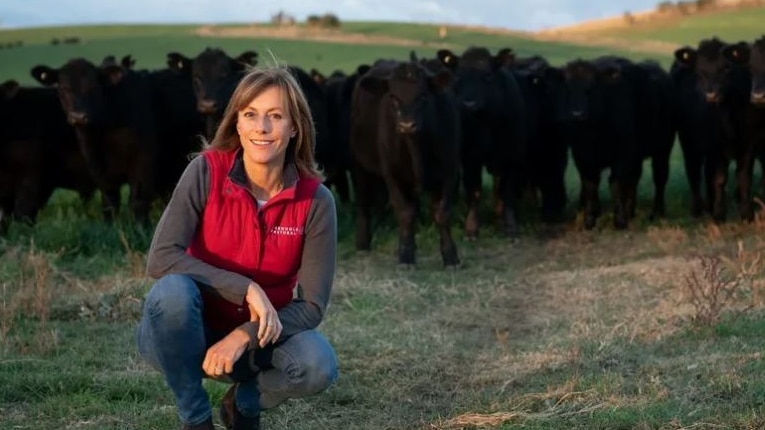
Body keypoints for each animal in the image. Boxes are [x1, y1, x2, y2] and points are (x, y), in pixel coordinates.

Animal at [31, 55, 160, 222]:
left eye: (94, 87)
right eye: (63, 88)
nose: (78, 117)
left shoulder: (143, 162)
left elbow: (138, 202)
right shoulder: (98, 169)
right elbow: (109, 203)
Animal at [348, 57, 460, 266]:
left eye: (423, 96)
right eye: (393, 97)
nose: (407, 125)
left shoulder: (449, 171)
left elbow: (442, 212)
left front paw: (450, 256)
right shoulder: (392, 174)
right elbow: (405, 213)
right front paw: (406, 256)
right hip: (361, 166)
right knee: (363, 202)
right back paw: (362, 243)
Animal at [436, 49, 524, 242]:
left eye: (488, 76)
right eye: (458, 77)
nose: (468, 103)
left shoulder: (512, 157)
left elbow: (507, 191)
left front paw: (511, 228)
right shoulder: (470, 159)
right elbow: (474, 191)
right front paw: (471, 229)